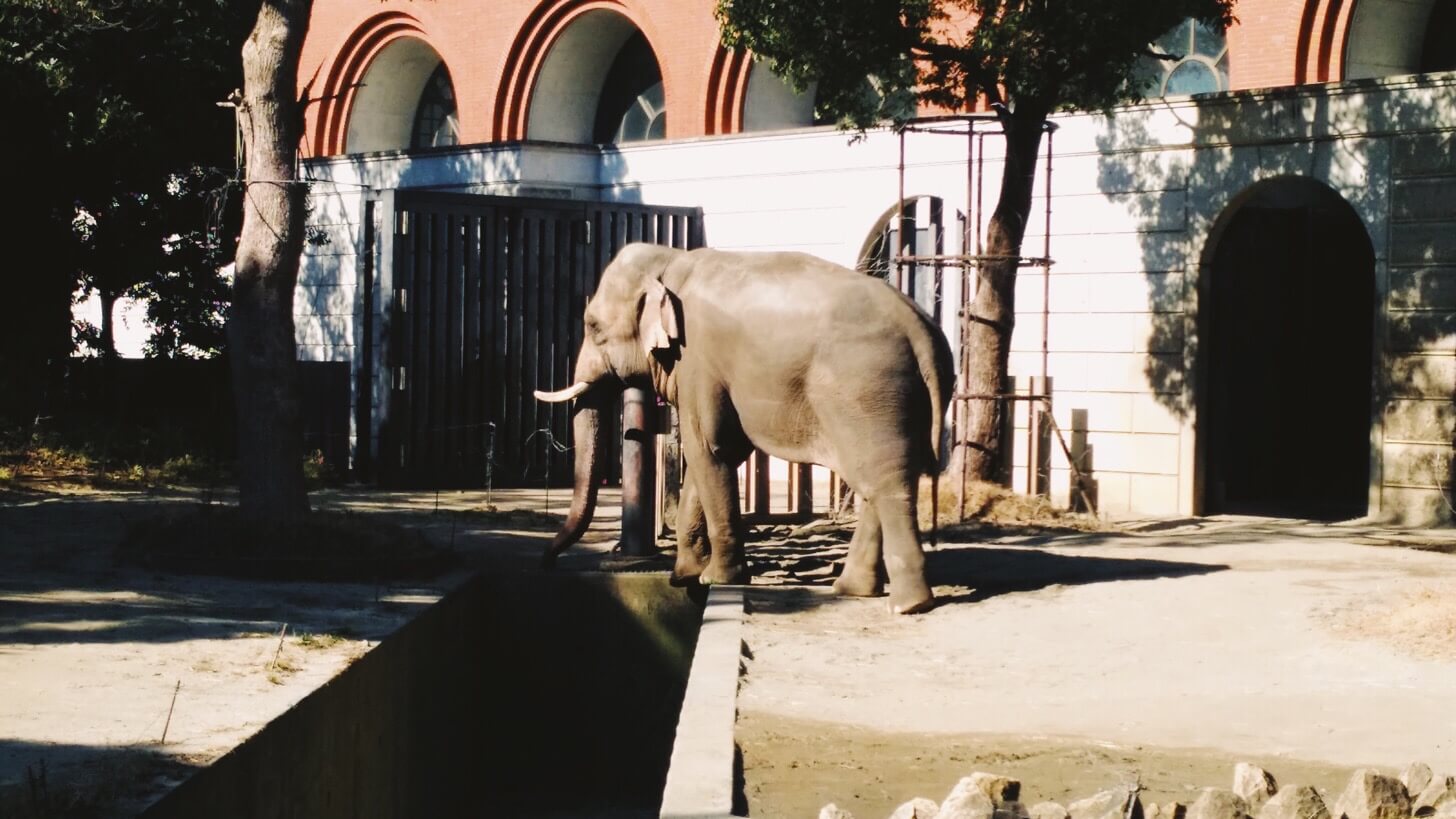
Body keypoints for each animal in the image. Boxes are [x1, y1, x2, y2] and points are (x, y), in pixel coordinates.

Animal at [535, 241, 955, 612]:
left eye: (592, 326)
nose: (548, 563)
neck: (672, 261)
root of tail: (921, 331)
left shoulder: (697, 360)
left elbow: (708, 448)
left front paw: (716, 579)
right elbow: (715, 455)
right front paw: (684, 577)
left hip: (865, 389)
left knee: (884, 484)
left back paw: (907, 605)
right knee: (879, 481)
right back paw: (851, 590)